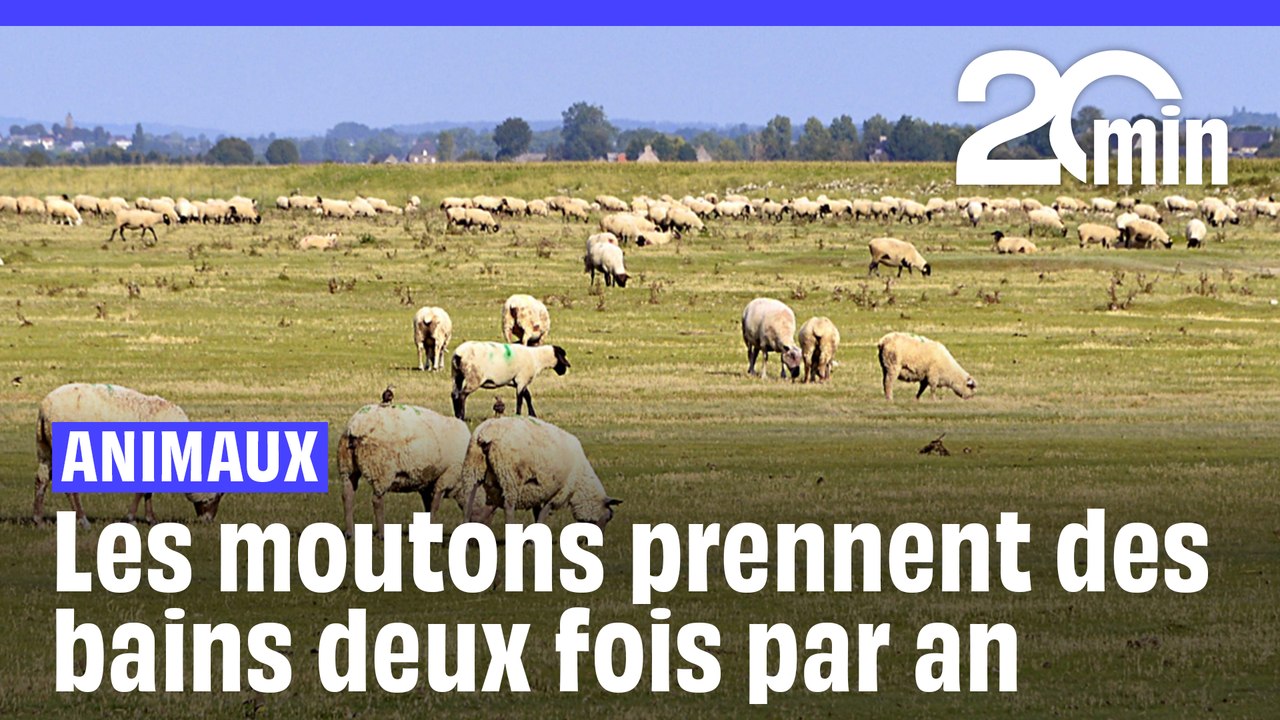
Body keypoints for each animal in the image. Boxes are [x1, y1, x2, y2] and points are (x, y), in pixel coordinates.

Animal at [34, 383, 224, 527]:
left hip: (45, 449)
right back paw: (83, 520)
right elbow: (141, 490)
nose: (208, 521)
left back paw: (39, 520)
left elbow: (148, 490)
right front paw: (131, 518)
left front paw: (151, 519)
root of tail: (45, 409)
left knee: (41, 480)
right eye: (218, 495)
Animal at [336, 403, 471, 538]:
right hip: (382, 470)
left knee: (347, 494)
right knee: (377, 500)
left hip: (347, 465)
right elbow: (435, 505)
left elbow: (428, 507)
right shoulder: (447, 477)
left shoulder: (426, 484)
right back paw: (381, 534)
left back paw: (350, 533)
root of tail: (356, 425)